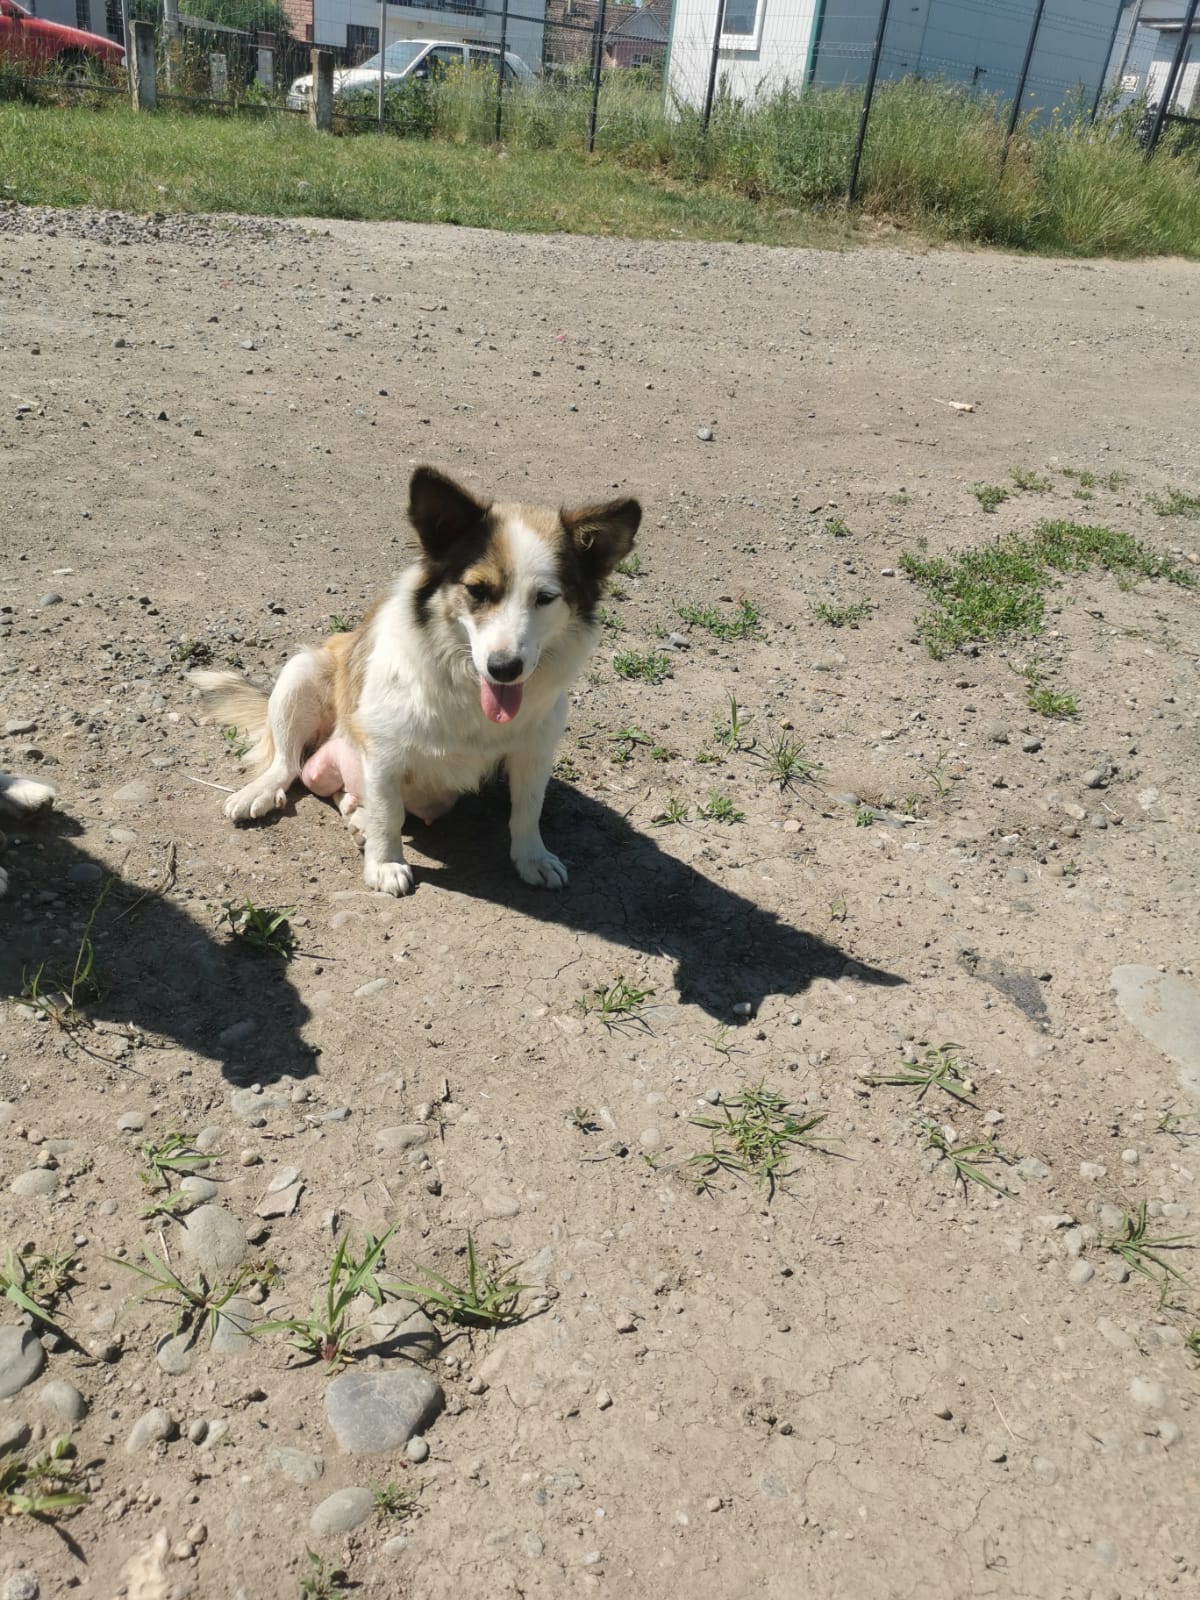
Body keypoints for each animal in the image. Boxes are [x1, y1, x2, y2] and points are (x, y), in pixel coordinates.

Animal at [192, 466, 641, 896]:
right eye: (477, 590)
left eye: (545, 598)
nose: (504, 668)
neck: (466, 689)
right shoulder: (383, 751)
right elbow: (388, 814)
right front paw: (385, 864)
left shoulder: (535, 748)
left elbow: (528, 809)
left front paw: (533, 858)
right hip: (301, 674)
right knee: (289, 764)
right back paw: (262, 791)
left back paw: (355, 813)